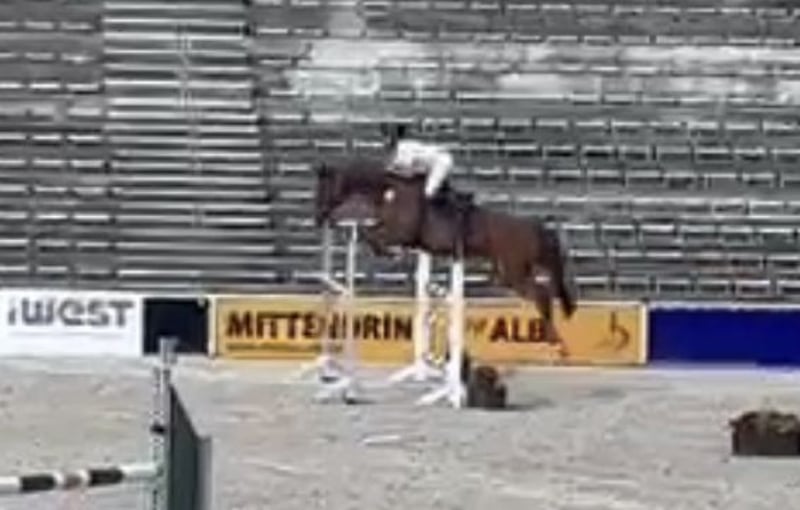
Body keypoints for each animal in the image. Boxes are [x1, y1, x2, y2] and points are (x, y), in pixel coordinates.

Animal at [313, 156, 577, 350]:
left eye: (323, 188)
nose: (318, 218)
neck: (391, 190)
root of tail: (536, 227)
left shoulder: (401, 232)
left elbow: (372, 235)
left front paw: (391, 254)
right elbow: (371, 232)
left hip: (514, 273)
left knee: (542, 295)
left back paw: (556, 342)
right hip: (507, 274)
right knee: (543, 293)